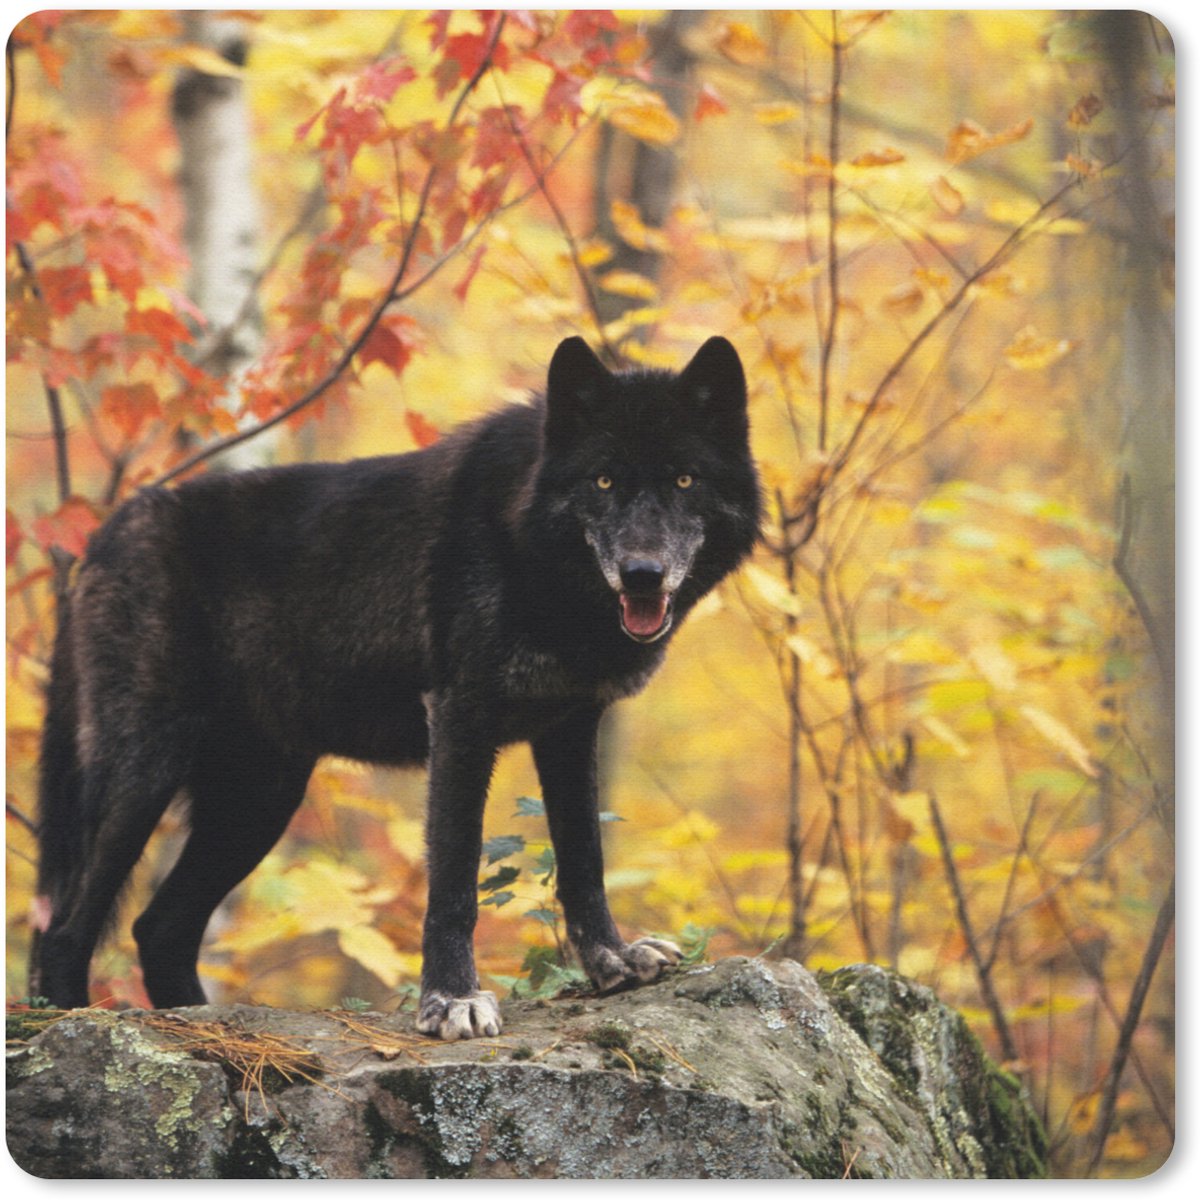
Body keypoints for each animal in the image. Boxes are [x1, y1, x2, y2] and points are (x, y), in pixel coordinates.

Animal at [30, 335, 761, 1039]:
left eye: (685, 478)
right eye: (604, 479)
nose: (642, 574)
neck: (534, 557)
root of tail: (104, 534)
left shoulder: (571, 729)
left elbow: (584, 858)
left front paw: (612, 961)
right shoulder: (460, 719)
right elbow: (455, 878)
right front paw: (452, 1001)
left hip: (259, 800)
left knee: (158, 928)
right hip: (146, 774)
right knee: (63, 928)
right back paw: (75, 1026)